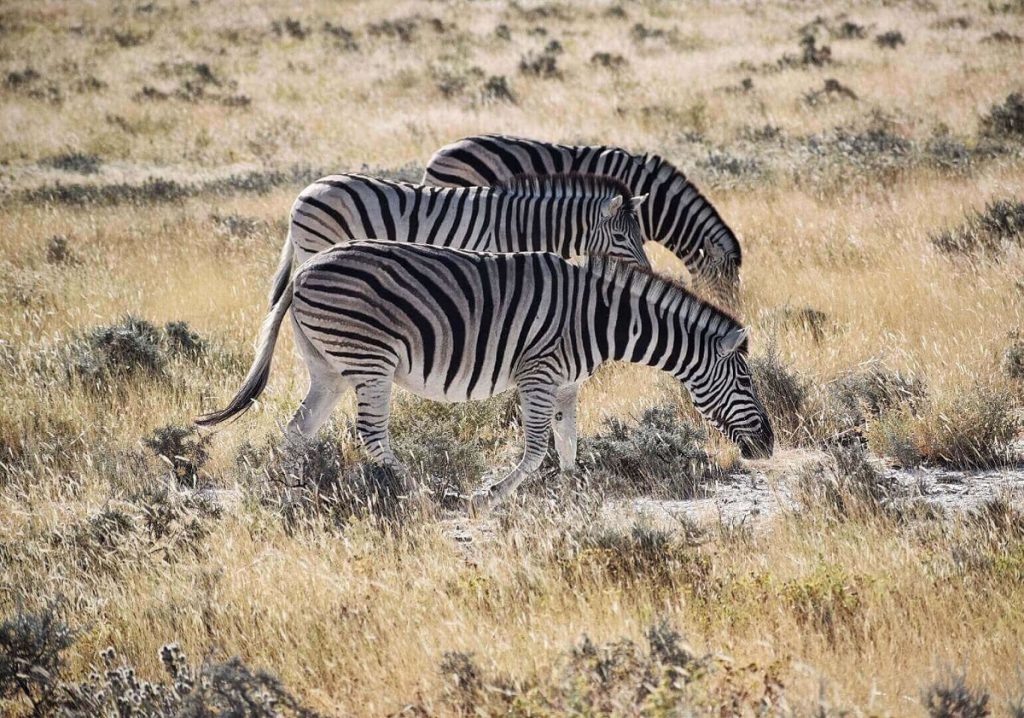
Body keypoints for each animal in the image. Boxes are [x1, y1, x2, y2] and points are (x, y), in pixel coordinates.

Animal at [197, 243, 774, 512]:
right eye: (747, 382)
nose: (769, 445)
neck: (599, 318)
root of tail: (302, 271)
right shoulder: (539, 374)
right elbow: (536, 448)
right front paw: (491, 495)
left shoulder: (566, 384)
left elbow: (568, 444)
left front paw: (576, 492)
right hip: (370, 359)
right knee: (372, 436)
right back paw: (421, 491)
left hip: (329, 367)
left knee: (299, 429)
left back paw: (286, 492)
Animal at [264, 174, 647, 307]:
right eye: (618, 236)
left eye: (640, 235)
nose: (647, 271)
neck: (521, 225)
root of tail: (307, 189)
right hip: (317, 247)